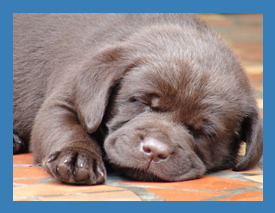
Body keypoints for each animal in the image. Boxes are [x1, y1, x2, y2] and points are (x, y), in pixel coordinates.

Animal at [12, 13, 264, 185]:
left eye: (204, 132)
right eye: (141, 102)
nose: (155, 151)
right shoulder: (65, 101)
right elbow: (68, 128)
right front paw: (76, 156)